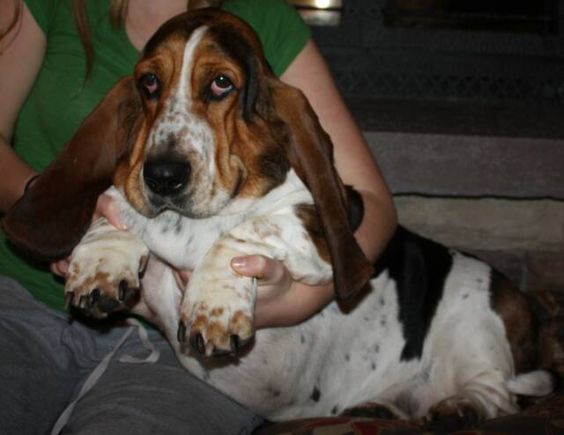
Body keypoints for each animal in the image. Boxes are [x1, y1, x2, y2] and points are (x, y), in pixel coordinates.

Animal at [2, 8, 552, 428]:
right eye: (149, 82)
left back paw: (458, 408)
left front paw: (213, 305)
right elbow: (119, 211)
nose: (162, 176)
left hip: (474, 330)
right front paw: (102, 262)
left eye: (221, 83)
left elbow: (246, 230)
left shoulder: (312, 235)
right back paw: (378, 407)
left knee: (498, 394)